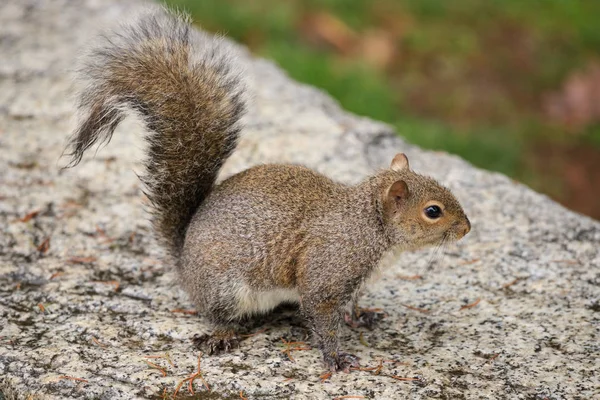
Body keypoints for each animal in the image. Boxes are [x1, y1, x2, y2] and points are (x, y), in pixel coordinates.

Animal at [63, 8, 472, 372]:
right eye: (433, 211)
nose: (467, 228)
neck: (371, 227)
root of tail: (184, 260)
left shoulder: (353, 282)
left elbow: (350, 306)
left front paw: (362, 316)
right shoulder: (328, 269)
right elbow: (322, 313)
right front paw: (336, 356)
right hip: (225, 288)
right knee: (218, 314)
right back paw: (222, 334)